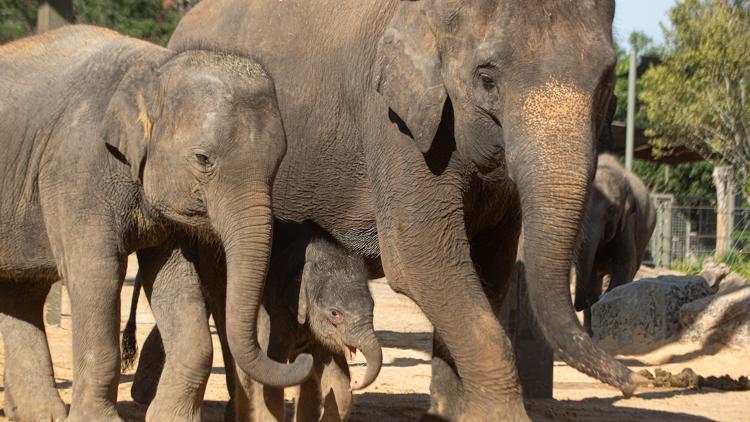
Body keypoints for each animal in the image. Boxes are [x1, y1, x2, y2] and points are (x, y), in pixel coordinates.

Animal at [0, 25, 287, 421]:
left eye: (279, 161)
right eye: (202, 158)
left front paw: (172, 418)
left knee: (21, 292)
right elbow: (97, 273)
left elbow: (174, 279)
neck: (155, 68)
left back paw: (44, 415)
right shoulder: (75, 169)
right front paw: (97, 421)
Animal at [122, 221, 380, 421]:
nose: (358, 382)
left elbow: (337, 380)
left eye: (373, 308)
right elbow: (270, 374)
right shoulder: (272, 307)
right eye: (335, 313)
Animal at [156, 1, 644, 420]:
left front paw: (447, 414)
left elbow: (490, 269)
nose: (633, 383)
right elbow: (422, 260)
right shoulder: (394, 125)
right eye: (486, 78)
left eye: (607, 82)